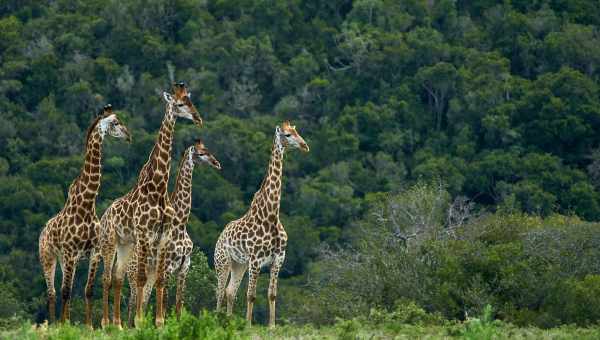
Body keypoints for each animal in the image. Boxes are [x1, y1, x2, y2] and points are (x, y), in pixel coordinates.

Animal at [38, 105, 131, 326]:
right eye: (115, 122)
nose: (128, 136)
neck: (87, 205)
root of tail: (43, 231)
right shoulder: (70, 252)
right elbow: (66, 292)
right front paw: (63, 326)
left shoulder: (94, 252)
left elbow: (87, 291)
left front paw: (88, 326)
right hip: (48, 256)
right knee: (52, 293)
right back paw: (53, 324)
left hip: (63, 259)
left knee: (61, 290)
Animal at [90, 81, 200, 328]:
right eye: (180, 104)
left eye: (190, 100)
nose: (198, 118)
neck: (157, 187)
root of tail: (105, 214)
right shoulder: (144, 234)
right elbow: (141, 278)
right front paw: (140, 322)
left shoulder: (163, 237)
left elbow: (159, 280)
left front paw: (159, 322)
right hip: (111, 242)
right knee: (107, 278)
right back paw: (106, 323)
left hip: (125, 244)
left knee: (118, 277)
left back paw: (118, 324)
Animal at [124, 139, 220, 326]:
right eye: (200, 153)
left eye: (208, 150)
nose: (216, 163)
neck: (181, 224)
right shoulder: (168, 267)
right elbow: (165, 302)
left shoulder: (184, 268)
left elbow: (178, 305)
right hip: (133, 276)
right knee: (132, 305)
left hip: (150, 276)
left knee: (143, 301)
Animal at [214, 121, 310, 326]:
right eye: (287, 135)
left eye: (297, 131)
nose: (305, 145)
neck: (271, 216)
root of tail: (221, 235)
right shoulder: (256, 260)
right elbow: (251, 295)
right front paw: (248, 325)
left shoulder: (278, 259)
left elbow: (272, 294)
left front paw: (272, 326)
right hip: (223, 261)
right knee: (220, 291)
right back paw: (217, 320)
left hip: (239, 264)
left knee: (230, 291)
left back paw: (229, 321)